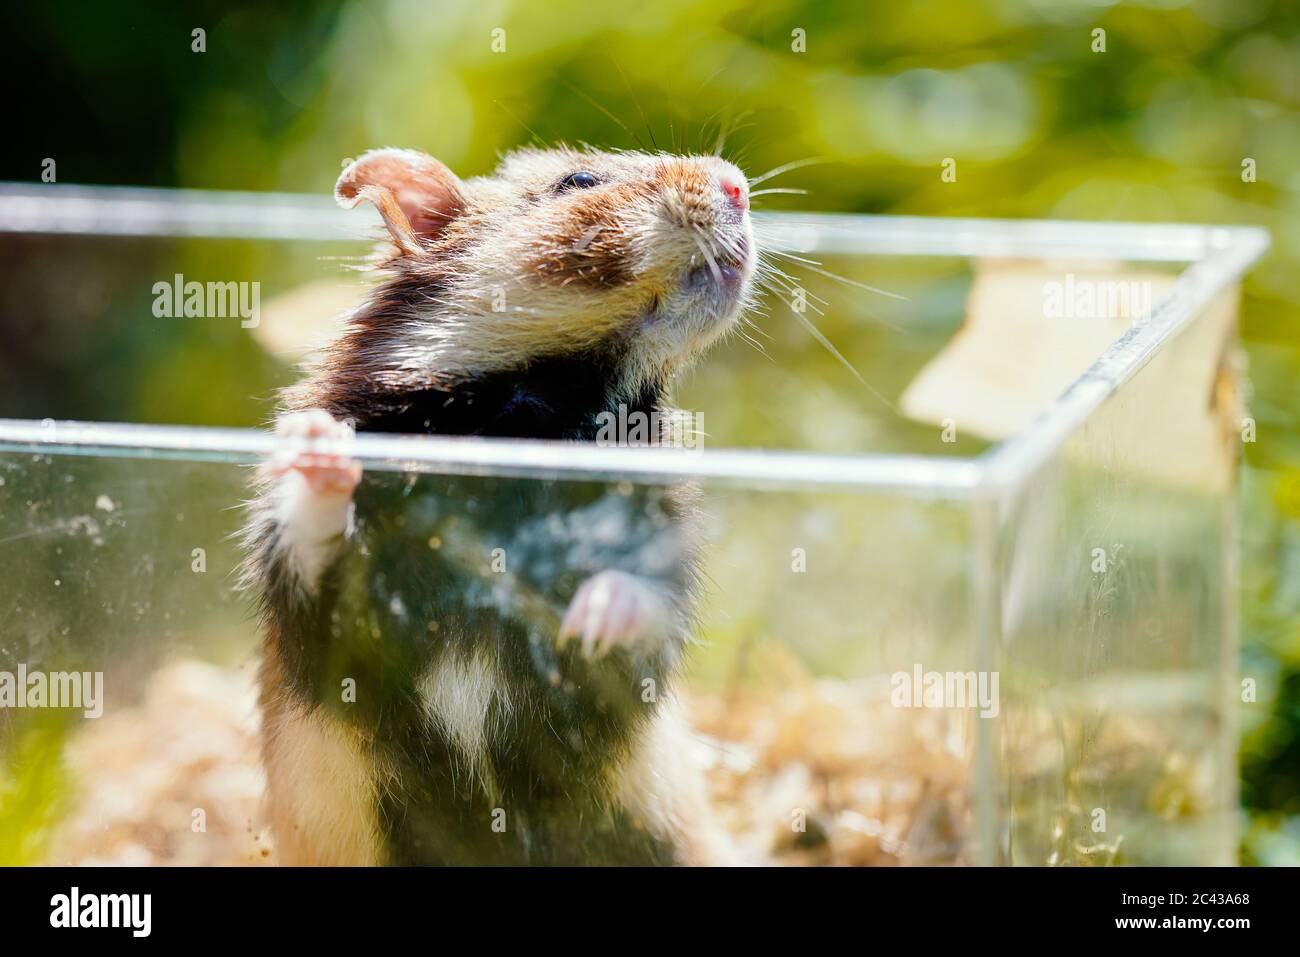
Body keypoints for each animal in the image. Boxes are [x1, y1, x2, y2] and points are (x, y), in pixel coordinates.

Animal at [240, 143, 759, 868]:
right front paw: (319, 446)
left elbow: (646, 603)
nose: (738, 185)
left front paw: (592, 615)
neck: (544, 409)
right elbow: (314, 553)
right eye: (578, 181)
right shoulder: (322, 637)